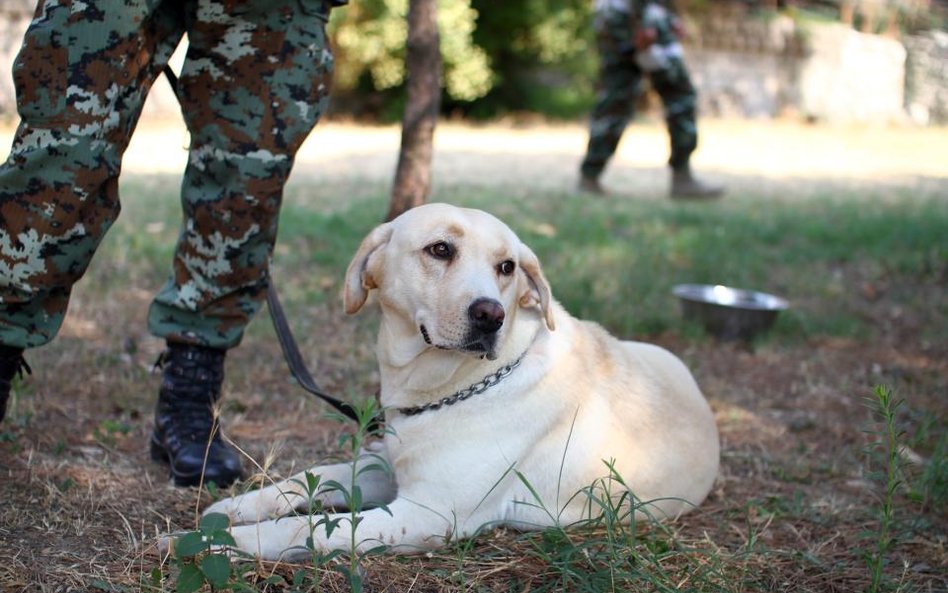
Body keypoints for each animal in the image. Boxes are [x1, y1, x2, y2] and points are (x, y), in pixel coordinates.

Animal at [202, 201, 720, 556]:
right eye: (440, 249)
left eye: (507, 267)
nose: (490, 315)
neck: (448, 388)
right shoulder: (388, 466)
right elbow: (313, 477)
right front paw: (234, 509)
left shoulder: (426, 512)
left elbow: (306, 528)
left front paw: (219, 544)